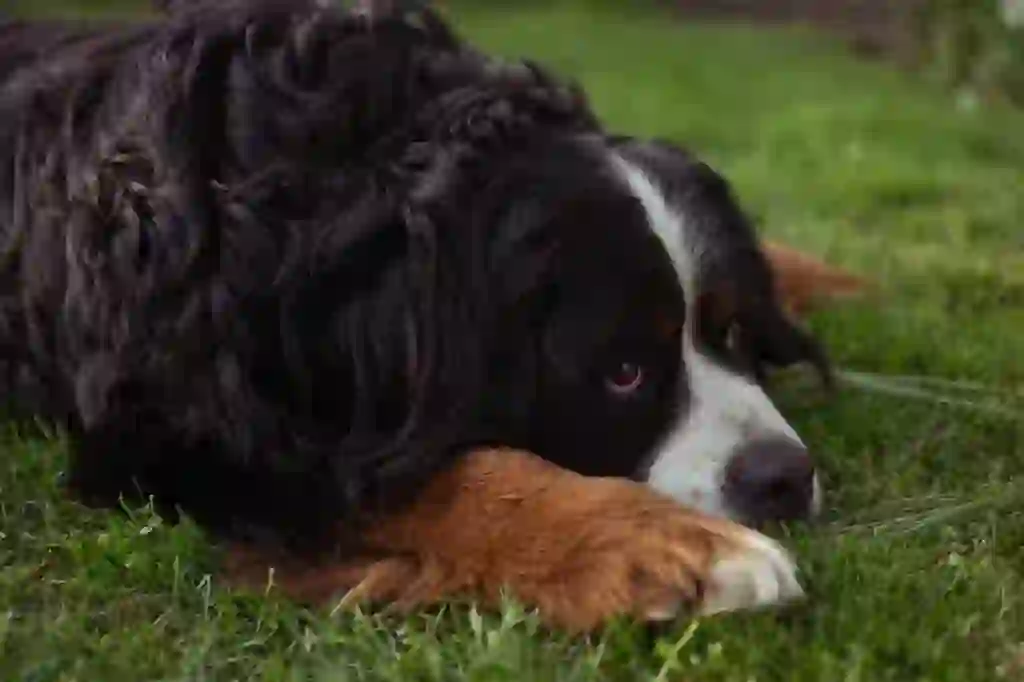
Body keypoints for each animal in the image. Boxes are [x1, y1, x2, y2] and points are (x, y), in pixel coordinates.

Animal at [2, 0, 856, 630]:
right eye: (622, 373)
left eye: (734, 332)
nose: (782, 477)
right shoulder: (186, 433)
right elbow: (458, 476)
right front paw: (677, 548)